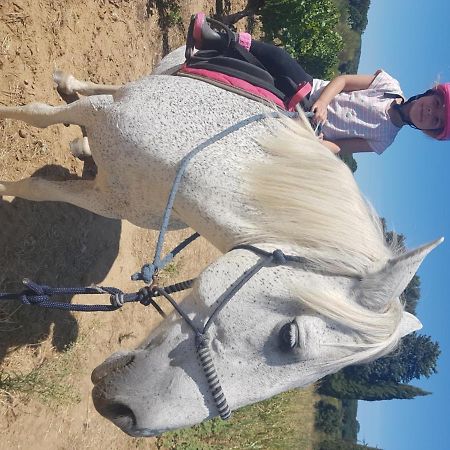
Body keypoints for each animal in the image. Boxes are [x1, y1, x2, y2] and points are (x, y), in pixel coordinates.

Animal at [0, 46, 442, 436]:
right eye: (289, 337)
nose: (125, 415)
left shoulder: (114, 199)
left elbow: (44, 190)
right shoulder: (99, 113)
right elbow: (37, 116)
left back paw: (82, 143)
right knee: (107, 88)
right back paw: (69, 87)